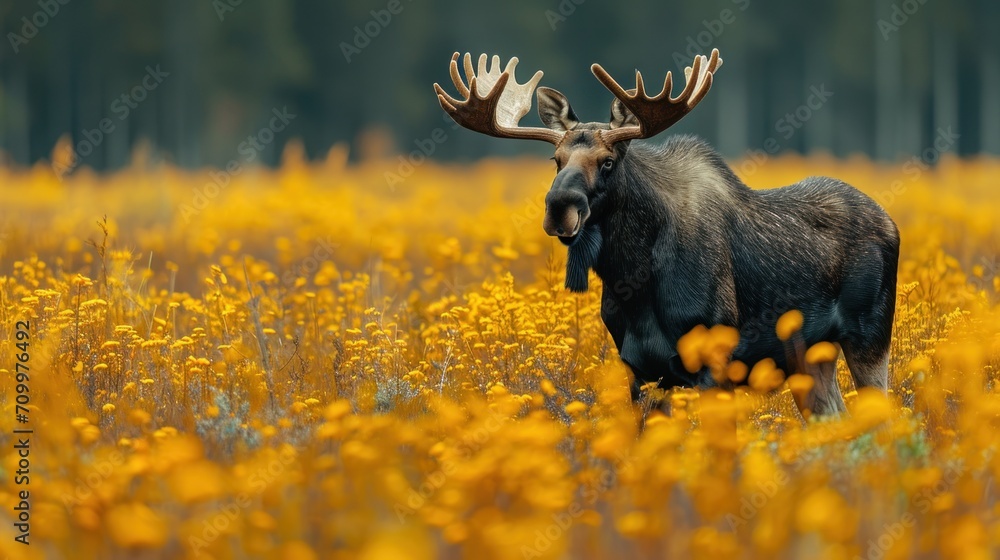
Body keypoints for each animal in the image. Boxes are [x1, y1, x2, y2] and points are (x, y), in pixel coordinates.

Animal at [434, 49, 904, 416]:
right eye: (556, 160)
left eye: (608, 161)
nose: (559, 209)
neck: (633, 281)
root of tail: (890, 222)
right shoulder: (639, 369)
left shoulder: (715, 363)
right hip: (810, 356)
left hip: (870, 337)